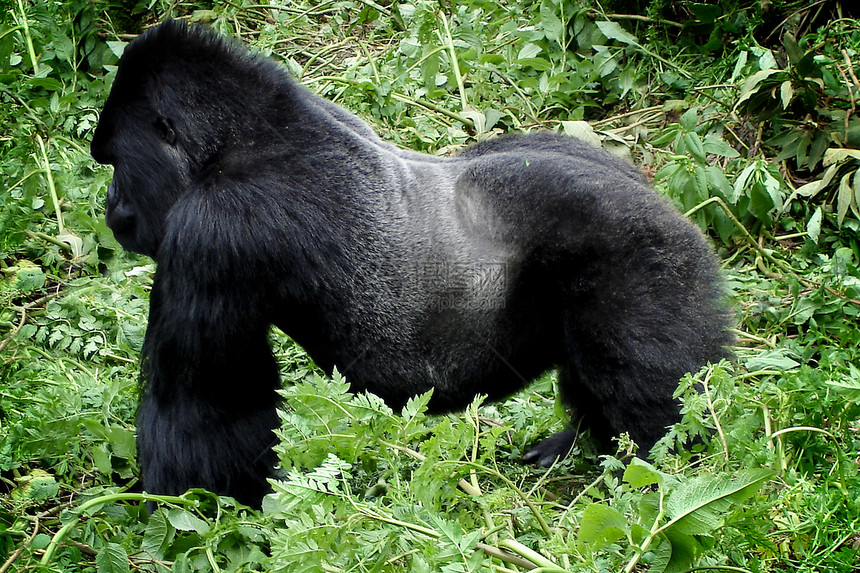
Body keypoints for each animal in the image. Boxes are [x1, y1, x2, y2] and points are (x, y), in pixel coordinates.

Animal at [89, 20, 732, 508]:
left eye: (115, 160)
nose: (112, 206)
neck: (246, 134)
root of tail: (674, 209)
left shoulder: (211, 232)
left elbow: (202, 412)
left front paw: (195, 515)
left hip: (645, 262)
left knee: (653, 410)